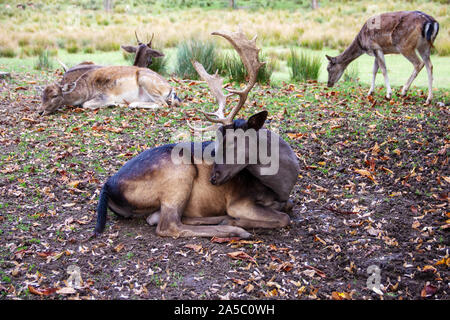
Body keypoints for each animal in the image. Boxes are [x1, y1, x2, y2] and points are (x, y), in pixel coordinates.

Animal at [93, 30, 300, 239]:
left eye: (234, 141)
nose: (213, 178)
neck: (281, 185)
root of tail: (108, 186)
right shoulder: (240, 201)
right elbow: (284, 218)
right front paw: (236, 221)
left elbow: (289, 206)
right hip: (179, 173)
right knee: (168, 225)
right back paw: (234, 228)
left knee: (161, 218)